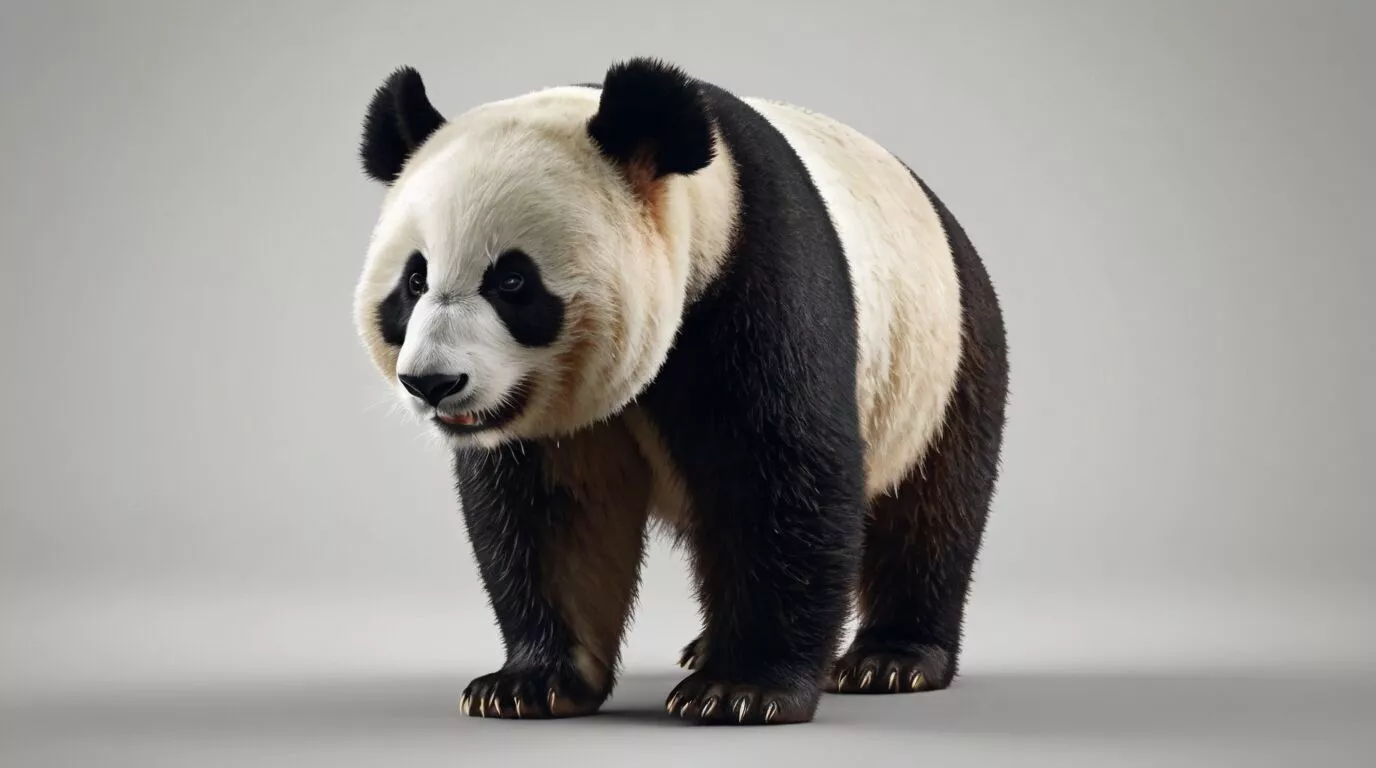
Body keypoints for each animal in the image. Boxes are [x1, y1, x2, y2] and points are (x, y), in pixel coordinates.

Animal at [352, 57, 1008, 726]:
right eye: (413, 281)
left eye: (512, 281)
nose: (433, 383)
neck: (702, 206)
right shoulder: (549, 420)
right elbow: (554, 513)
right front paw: (528, 685)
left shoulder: (754, 281)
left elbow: (780, 476)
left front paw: (742, 690)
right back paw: (707, 648)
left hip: (945, 359)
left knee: (930, 509)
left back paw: (890, 659)